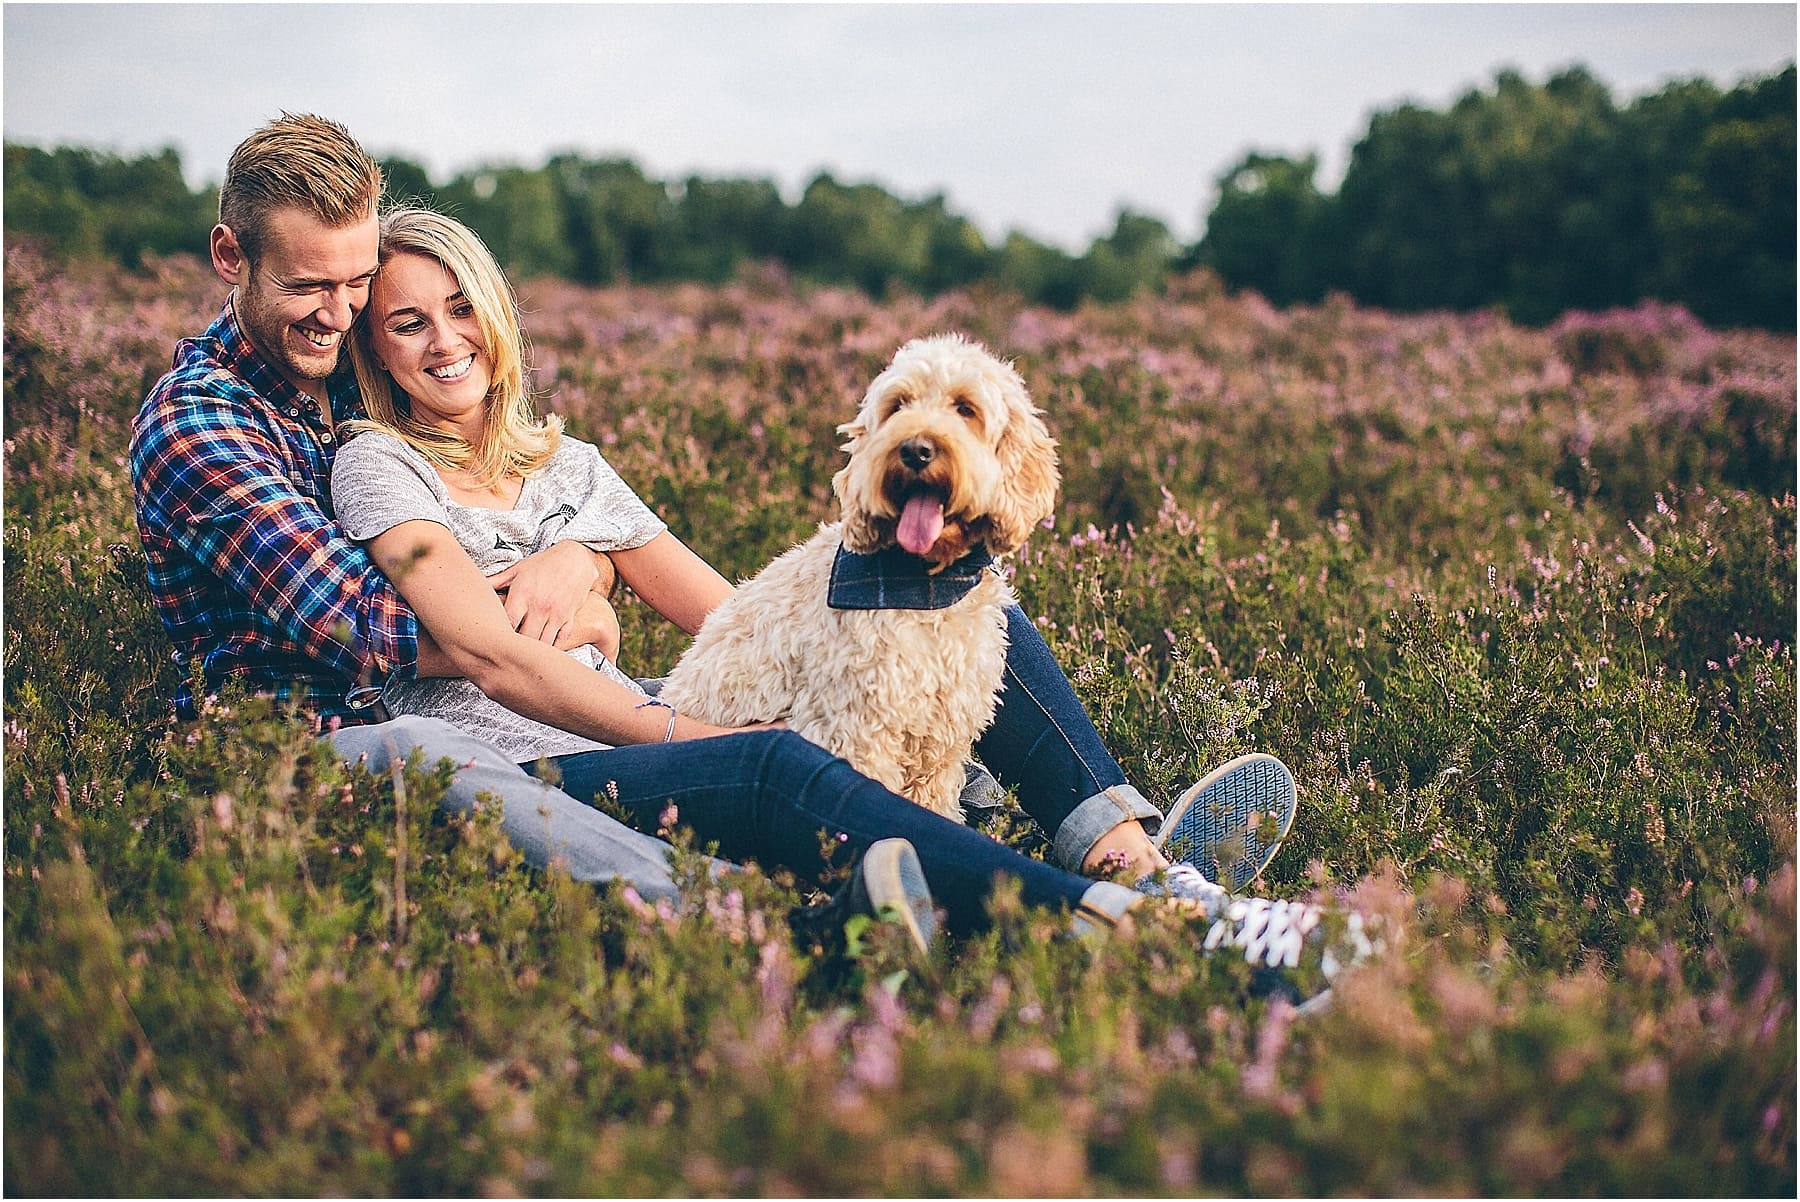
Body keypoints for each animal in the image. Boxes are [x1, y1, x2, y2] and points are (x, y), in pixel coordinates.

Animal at [658, 331, 1051, 816]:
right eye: (898, 406)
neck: (925, 584)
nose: (915, 450)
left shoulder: (941, 744)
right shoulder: (858, 732)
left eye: (965, 407)